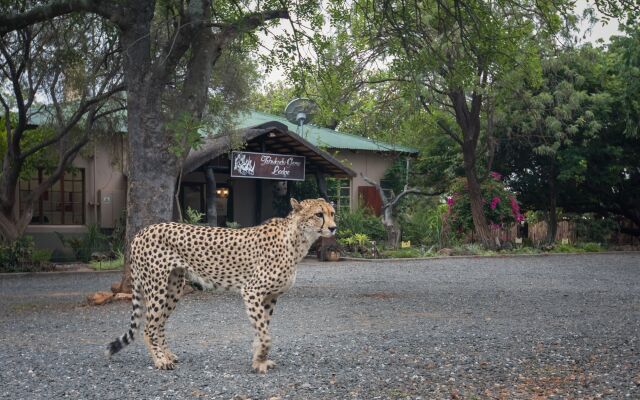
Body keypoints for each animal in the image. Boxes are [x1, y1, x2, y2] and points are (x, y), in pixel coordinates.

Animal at [106, 198, 336, 372]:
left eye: (332, 213)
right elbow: (265, 334)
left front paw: (258, 359)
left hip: (173, 288)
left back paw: (168, 355)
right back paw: (160, 360)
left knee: (159, 324)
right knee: (148, 327)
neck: (297, 239)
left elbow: (262, 330)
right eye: (318, 214)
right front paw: (260, 360)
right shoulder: (252, 291)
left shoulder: (270, 297)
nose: (334, 228)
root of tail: (142, 231)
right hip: (157, 287)